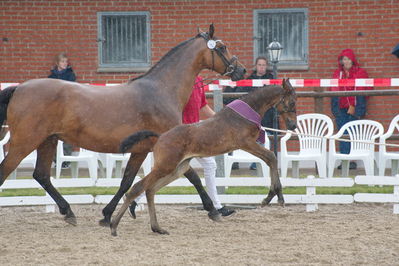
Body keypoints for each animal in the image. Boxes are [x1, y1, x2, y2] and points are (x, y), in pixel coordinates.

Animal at [111, 79, 298, 235]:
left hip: (178, 168)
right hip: (165, 166)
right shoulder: (245, 143)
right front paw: (275, 197)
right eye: (291, 102)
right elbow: (271, 158)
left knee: (150, 190)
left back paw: (157, 228)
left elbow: (270, 159)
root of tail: (160, 137)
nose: (293, 125)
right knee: (137, 188)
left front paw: (271, 196)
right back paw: (113, 225)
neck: (242, 116)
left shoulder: (248, 145)